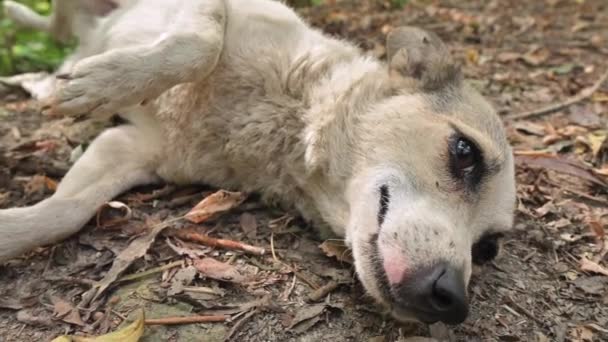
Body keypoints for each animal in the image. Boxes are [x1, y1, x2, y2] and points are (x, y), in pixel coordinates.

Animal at [0, 0, 516, 326]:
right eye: (465, 153)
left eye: (487, 249)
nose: (451, 301)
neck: (288, 114)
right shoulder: (220, 6)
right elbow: (199, 46)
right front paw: (108, 84)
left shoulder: (129, 148)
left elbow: (63, 214)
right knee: (51, 29)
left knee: (52, 51)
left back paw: (37, 78)